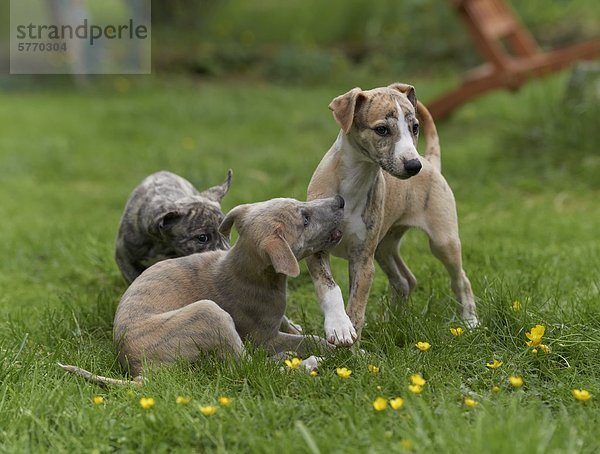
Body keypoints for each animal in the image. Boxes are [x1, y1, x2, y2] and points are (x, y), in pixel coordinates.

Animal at [308, 82, 476, 344]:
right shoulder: (316, 248)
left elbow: (356, 308)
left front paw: (351, 343)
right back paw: (390, 322)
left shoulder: (363, 260)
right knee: (405, 280)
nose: (414, 166)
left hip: (442, 241)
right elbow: (329, 287)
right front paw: (339, 326)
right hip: (385, 245)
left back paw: (470, 322)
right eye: (382, 130)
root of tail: (430, 162)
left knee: (461, 280)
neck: (355, 179)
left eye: (415, 127)